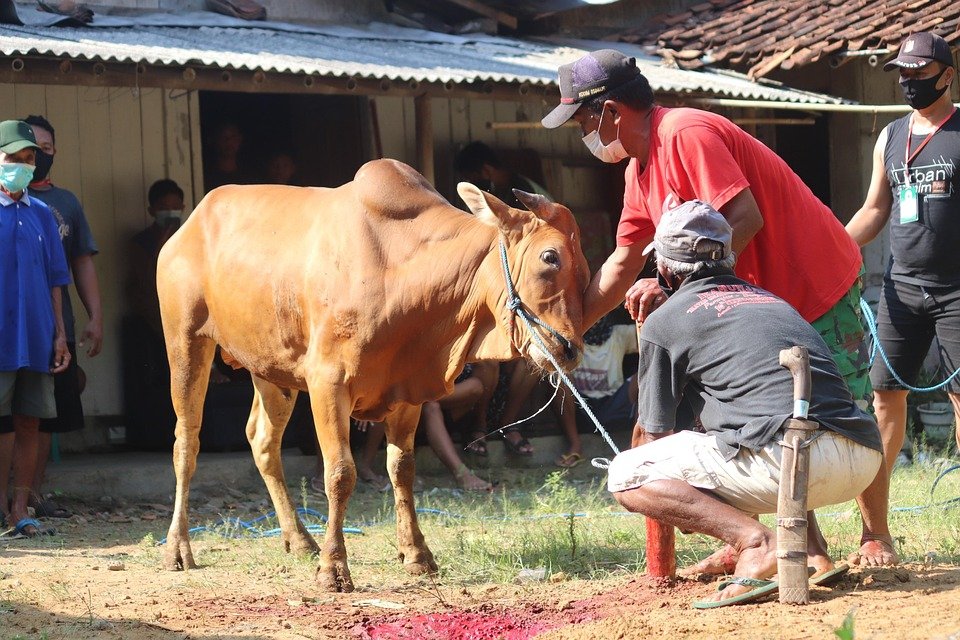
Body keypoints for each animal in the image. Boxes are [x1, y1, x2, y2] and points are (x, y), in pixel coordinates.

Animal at [157, 159, 588, 592]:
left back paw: (299, 538)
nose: (570, 349)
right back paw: (178, 547)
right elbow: (340, 473)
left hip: (271, 369)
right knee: (186, 443)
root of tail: (188, 226)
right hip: (186, 340)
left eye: (584, 268)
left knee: (263, 442)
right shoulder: (327, 382)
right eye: (549, 257)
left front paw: (416, 554)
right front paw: (334, 569)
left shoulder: (408, 392)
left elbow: (402, 469)